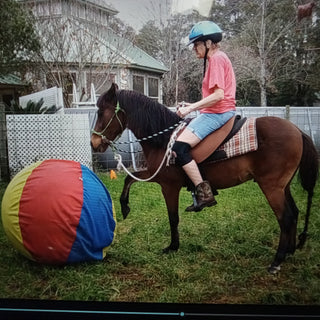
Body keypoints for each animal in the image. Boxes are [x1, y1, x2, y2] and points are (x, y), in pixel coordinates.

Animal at [91, 84, 318, 274]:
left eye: (101, 112)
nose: (94, 143)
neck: (164, 140)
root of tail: (298, 131)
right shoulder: (155, 175)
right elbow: (129, 180)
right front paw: (124, 207)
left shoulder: (168, 185)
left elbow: (173, 217)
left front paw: (172, 247)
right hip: (283, 186)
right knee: (294, 213)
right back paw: (289, 251)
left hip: (271, 187)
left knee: (285, 218)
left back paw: (277, 261)